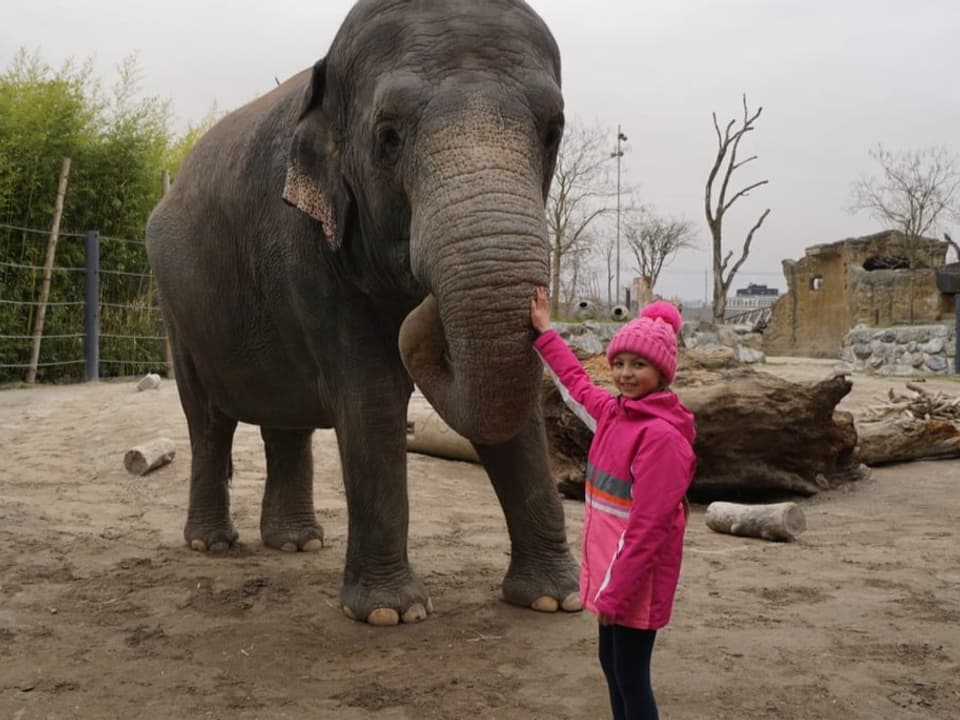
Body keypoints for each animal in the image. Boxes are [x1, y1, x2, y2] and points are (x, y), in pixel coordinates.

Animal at [142, 0, 576, 624]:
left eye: (552, 132)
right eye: (388, 137)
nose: (424, 308)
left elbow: (516, 397)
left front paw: (554, 600)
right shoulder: (305, 245)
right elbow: (370, 395)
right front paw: (391, 614)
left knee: (286, 420)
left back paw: (297, 543)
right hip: (177, 307)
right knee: (206, 421)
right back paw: (212, 545)